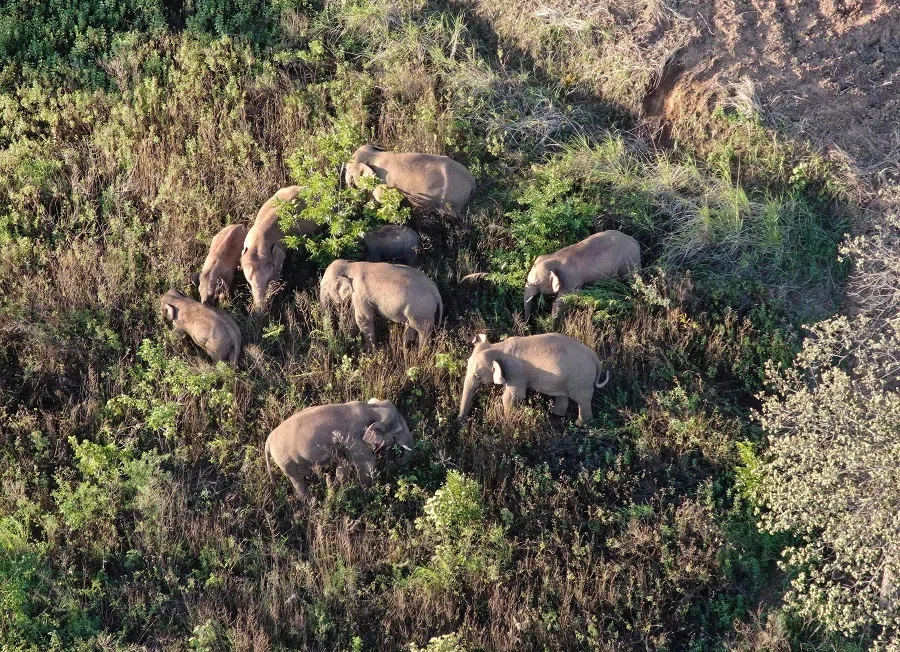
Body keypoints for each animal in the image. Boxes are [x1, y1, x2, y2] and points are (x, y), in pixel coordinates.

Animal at [264, 398, 414, 498]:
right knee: (297, 481)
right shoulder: (356, 439)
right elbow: (366, 466)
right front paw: (370, 491)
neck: (372, 408)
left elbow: (344, 464)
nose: (394, 458)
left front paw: (334, 488)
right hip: (285, 461)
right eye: (398, 432)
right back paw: (312, 503)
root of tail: (268, 442)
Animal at [344, 145, 476, 216]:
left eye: (348, 170)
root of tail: (472, 181)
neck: (375, 155)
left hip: (454, 201)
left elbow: (382, 198)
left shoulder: (383, 184)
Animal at [457, 333, 609, 426]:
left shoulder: (516, 373)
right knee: (563, 396)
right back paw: (554, 413)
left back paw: (581, 424)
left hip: (581, 380)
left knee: (582, 400)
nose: (460, 421)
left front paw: (509, 421)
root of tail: (596, 360)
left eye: (477, 376)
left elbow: (511, 397)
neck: (498, 347)